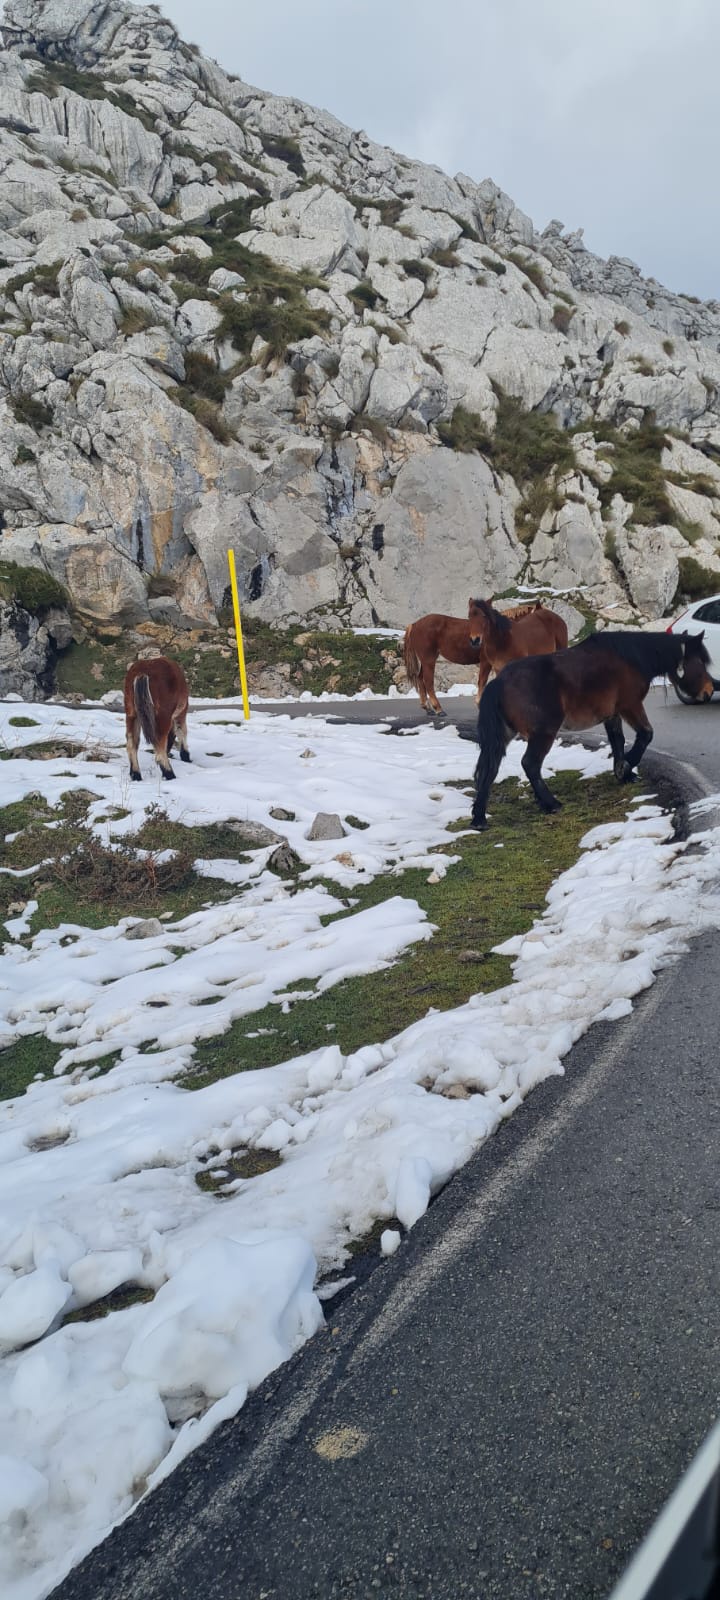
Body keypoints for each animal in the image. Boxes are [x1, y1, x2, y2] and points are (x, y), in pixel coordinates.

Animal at [401, 601, 544, 713]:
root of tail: (415, 624)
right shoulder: (487, 662)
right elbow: (482, 681)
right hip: (429, 660)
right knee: (428, 681)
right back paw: (438, 709)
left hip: (425, 661)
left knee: (420, 679)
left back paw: (427, 707)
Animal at [470, 627, 710, 832]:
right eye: (700, 662)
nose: (708, 691)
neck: (630, 659)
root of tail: (499, 682)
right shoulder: (630, 706)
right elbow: (645, 734)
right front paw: (627, 766)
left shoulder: (612, 714)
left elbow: (617, 741)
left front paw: (623, 773)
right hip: (543, 734)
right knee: (530, 764)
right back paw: (551, 803)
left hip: (505, 734)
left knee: (490, 769)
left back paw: (479, 818)